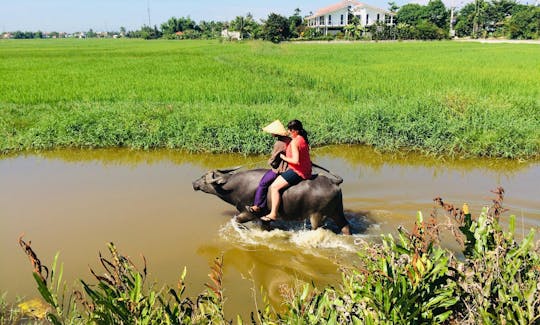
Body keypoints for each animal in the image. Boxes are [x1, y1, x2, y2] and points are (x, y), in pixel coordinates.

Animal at [191, 167, 350, 233]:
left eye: (204, 179)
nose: (194, 183)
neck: (234, 186)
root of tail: (334, 182)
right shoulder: (264, 218)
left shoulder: (249, 213)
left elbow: (236, 220)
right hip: (337, 212)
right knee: (345, 226)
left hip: (317, 216)